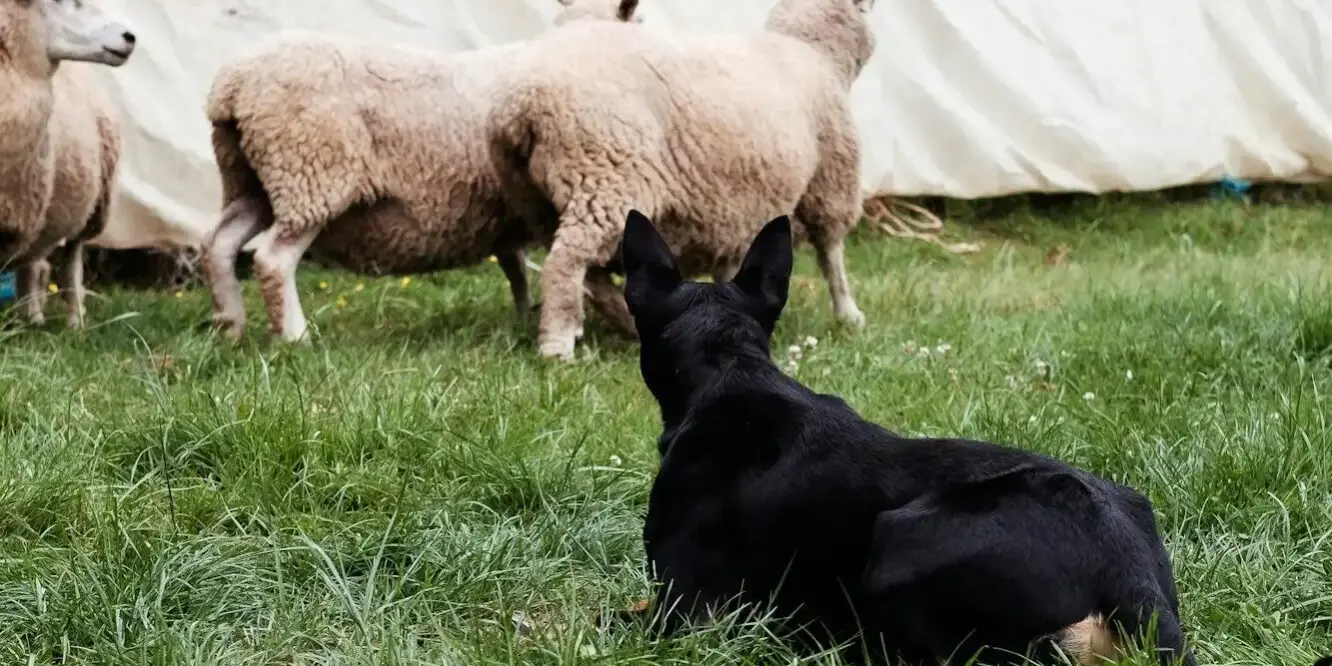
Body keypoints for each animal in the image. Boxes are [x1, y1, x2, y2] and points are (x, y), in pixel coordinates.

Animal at [0, 0, 137, 328]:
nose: (131, 37)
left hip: (93, 207)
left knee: (71, 268)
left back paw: (75, 325)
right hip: (43, 209)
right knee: (34, 265)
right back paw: (31, 319)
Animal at [202, 0, 643, 344]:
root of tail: (231, 86)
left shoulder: (505, 214)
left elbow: (516, 270)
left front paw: (522, 318)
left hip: (254, 179)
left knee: (221, 244)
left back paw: (231, 327)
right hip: (312, 172)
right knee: (273, 259)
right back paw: (296, 338)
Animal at [487, 0, 877, 361]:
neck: (811, 50)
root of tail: (523, 105)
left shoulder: (737, 207)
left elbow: (733, 266)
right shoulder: (831, 176)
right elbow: (832, 254)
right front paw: (849, 314)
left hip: (535, 199)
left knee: (590, 274)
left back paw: (629, 323)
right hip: (603, 178)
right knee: (565, 264)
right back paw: (557, 345)